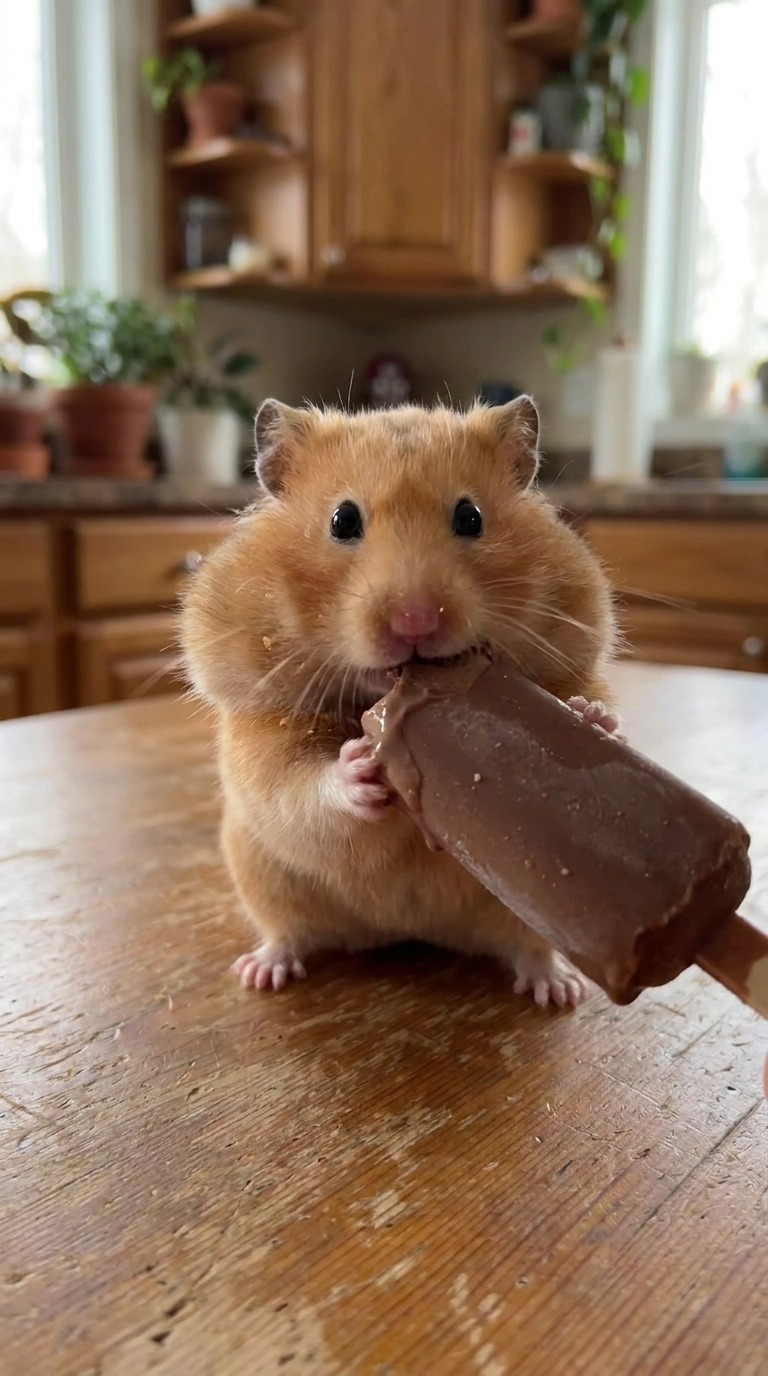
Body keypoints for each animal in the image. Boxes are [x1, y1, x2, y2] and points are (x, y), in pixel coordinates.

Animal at [181, 397, 617, 1008]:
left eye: (470, 517)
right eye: (343, 521)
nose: (415, 621)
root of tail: (402, 932)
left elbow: (592, 701)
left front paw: (590, 719)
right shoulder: (258, 736)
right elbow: (296, 787)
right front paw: (362, 767)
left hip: (531, 916)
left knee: (528, 948)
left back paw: (559, 991)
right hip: (259, 871)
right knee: (289, 933)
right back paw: (261, 973)